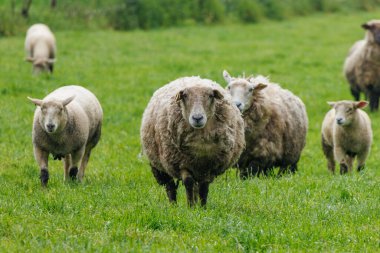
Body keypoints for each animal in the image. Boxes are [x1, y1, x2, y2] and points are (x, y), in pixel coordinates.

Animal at [141, 76, 245, 207]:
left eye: (211, 95)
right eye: (184, 96)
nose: (197, 118)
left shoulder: (208, 165)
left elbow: (204, 187)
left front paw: (202, 207)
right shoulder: (182, 163)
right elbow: (188, 182)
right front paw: (190, 207)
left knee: (196, 186)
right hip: (160, 165)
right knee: (170, 186)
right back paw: (173, 205)